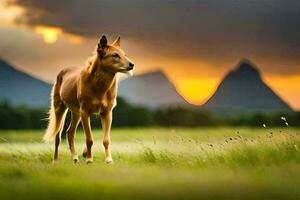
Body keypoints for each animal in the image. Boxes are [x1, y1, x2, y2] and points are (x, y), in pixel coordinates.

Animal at [42, 35, 134, 164]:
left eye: (124, 54)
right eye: (115, 55)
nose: (132, 64)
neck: (99, 85)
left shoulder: (107, 112)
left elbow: (106, 139)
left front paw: (108, 159)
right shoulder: (85, 112)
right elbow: (89, 138)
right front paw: (89, 159)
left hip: (76, 112)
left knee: (70, 133)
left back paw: (75, 158)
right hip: (60, 108)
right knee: (57, 136)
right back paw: (55, 160)